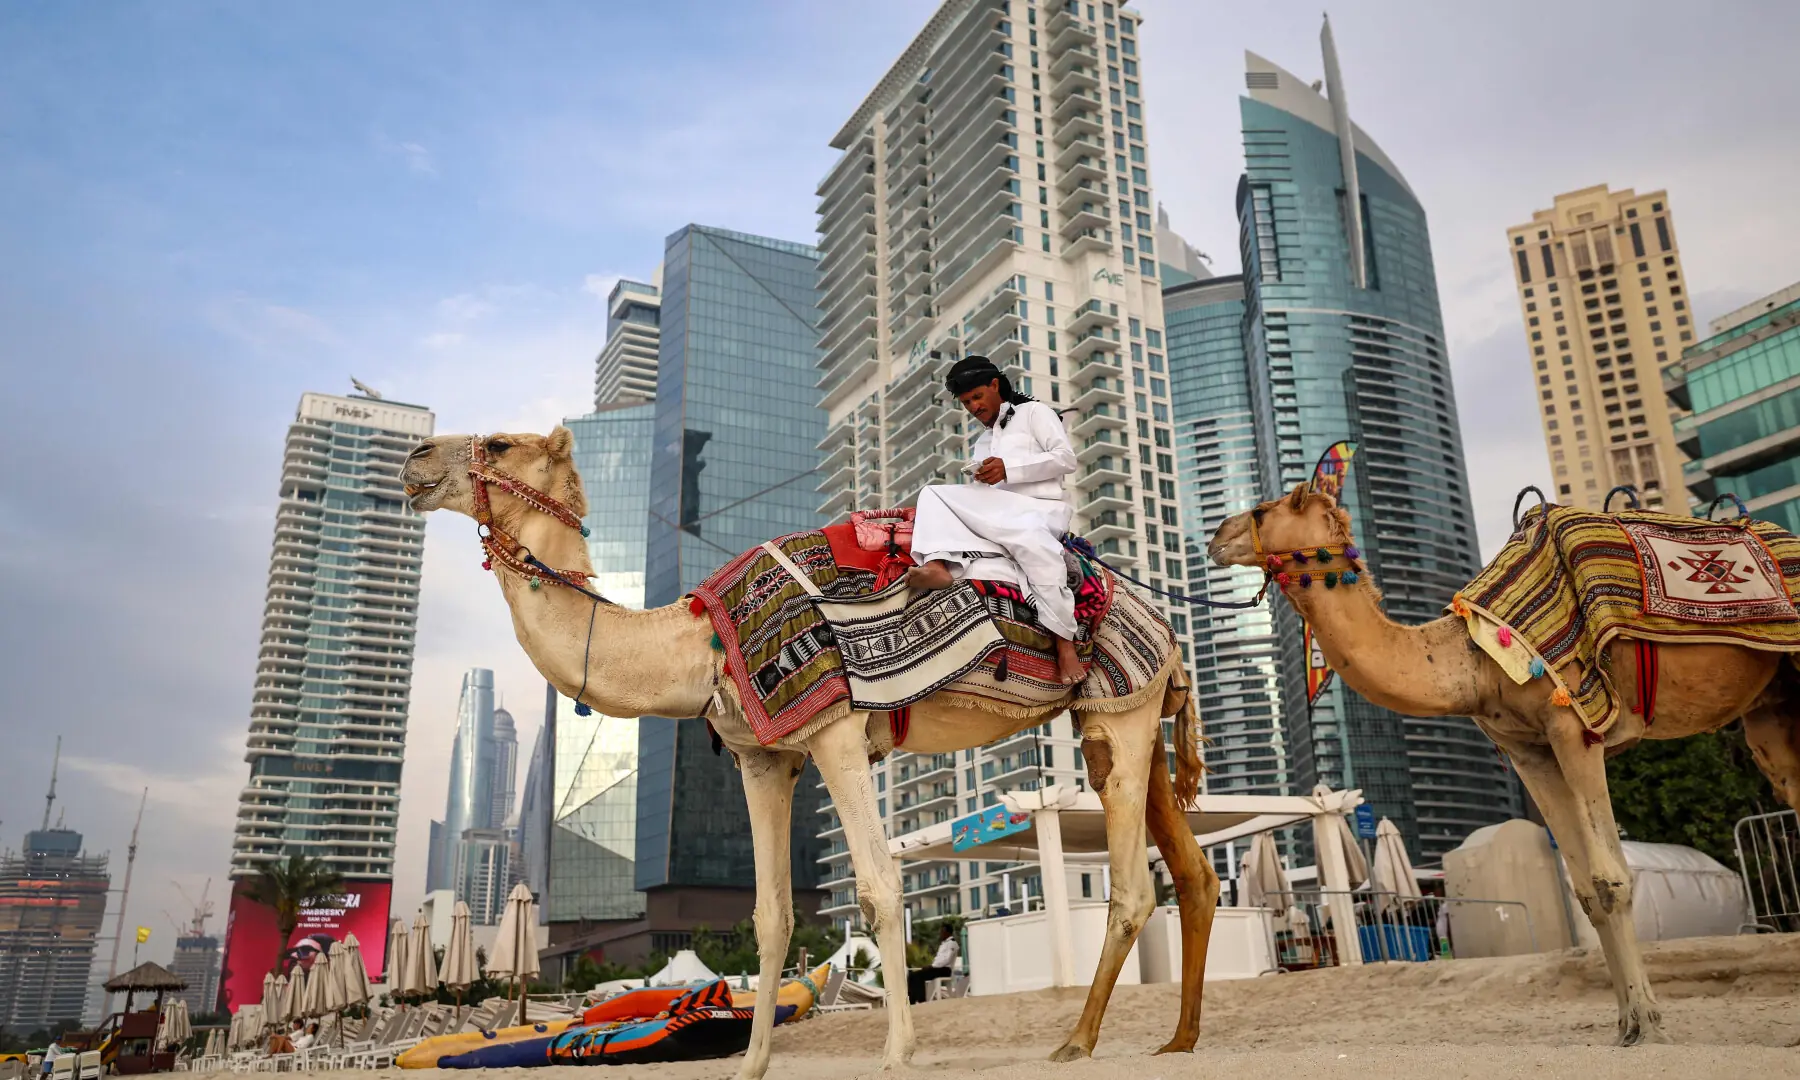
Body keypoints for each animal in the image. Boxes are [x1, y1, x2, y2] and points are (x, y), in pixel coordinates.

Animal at [400, 427, 1222, 1078]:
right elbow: (770, 917)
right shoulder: (764, 758)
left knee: (1133, 889)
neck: (699, 646)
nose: (414, 457)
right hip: (1122, 721)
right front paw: (752, 1064)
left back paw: (1077, 1042)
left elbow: (881, 888)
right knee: (1191, 870)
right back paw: (1179, 1040)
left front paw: (898, 1053)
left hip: (1122, 707)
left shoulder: (836, 731)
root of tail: (1163, 622)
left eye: (499, 443)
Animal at [1207, 483, 1800, 1046]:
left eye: (1261, 511)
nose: (1215, 536)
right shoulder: (1528, 749)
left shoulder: (1574, 722)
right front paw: (1624, 1025)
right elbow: (1586, 891)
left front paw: (1649, 1025)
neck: (1472, 660)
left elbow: (1611, 879)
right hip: (1769, 708)